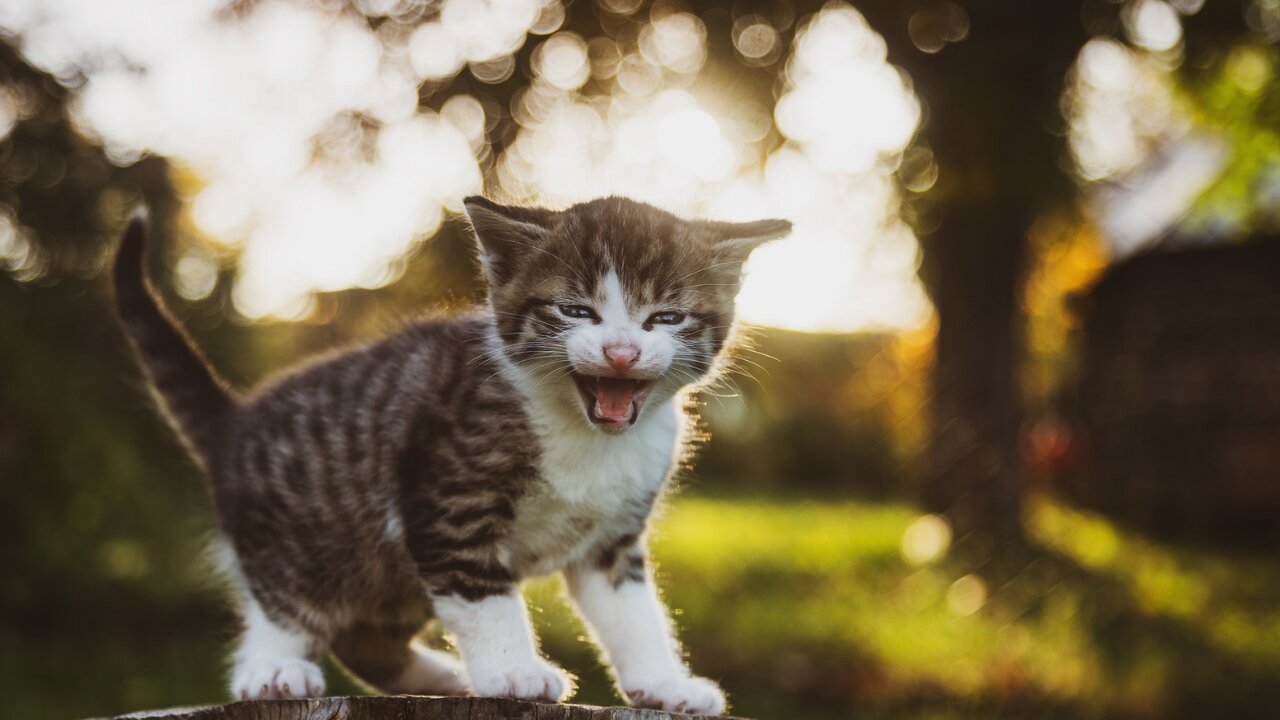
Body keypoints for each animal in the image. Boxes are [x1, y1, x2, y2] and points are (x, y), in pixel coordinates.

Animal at [112, 194, 788, 712]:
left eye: (665, 318)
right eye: (576, 311)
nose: (621, 352)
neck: (586, 435)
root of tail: (234, 421)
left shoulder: (612, 540)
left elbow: (634, 613)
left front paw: (664, 683)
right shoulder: (445, 494)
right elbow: (483, 594)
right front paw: (514, 671)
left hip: (389, 574)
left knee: (367, 639)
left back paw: (443, 678)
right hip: (306, 533)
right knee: (284, 599)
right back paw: (272, 670)